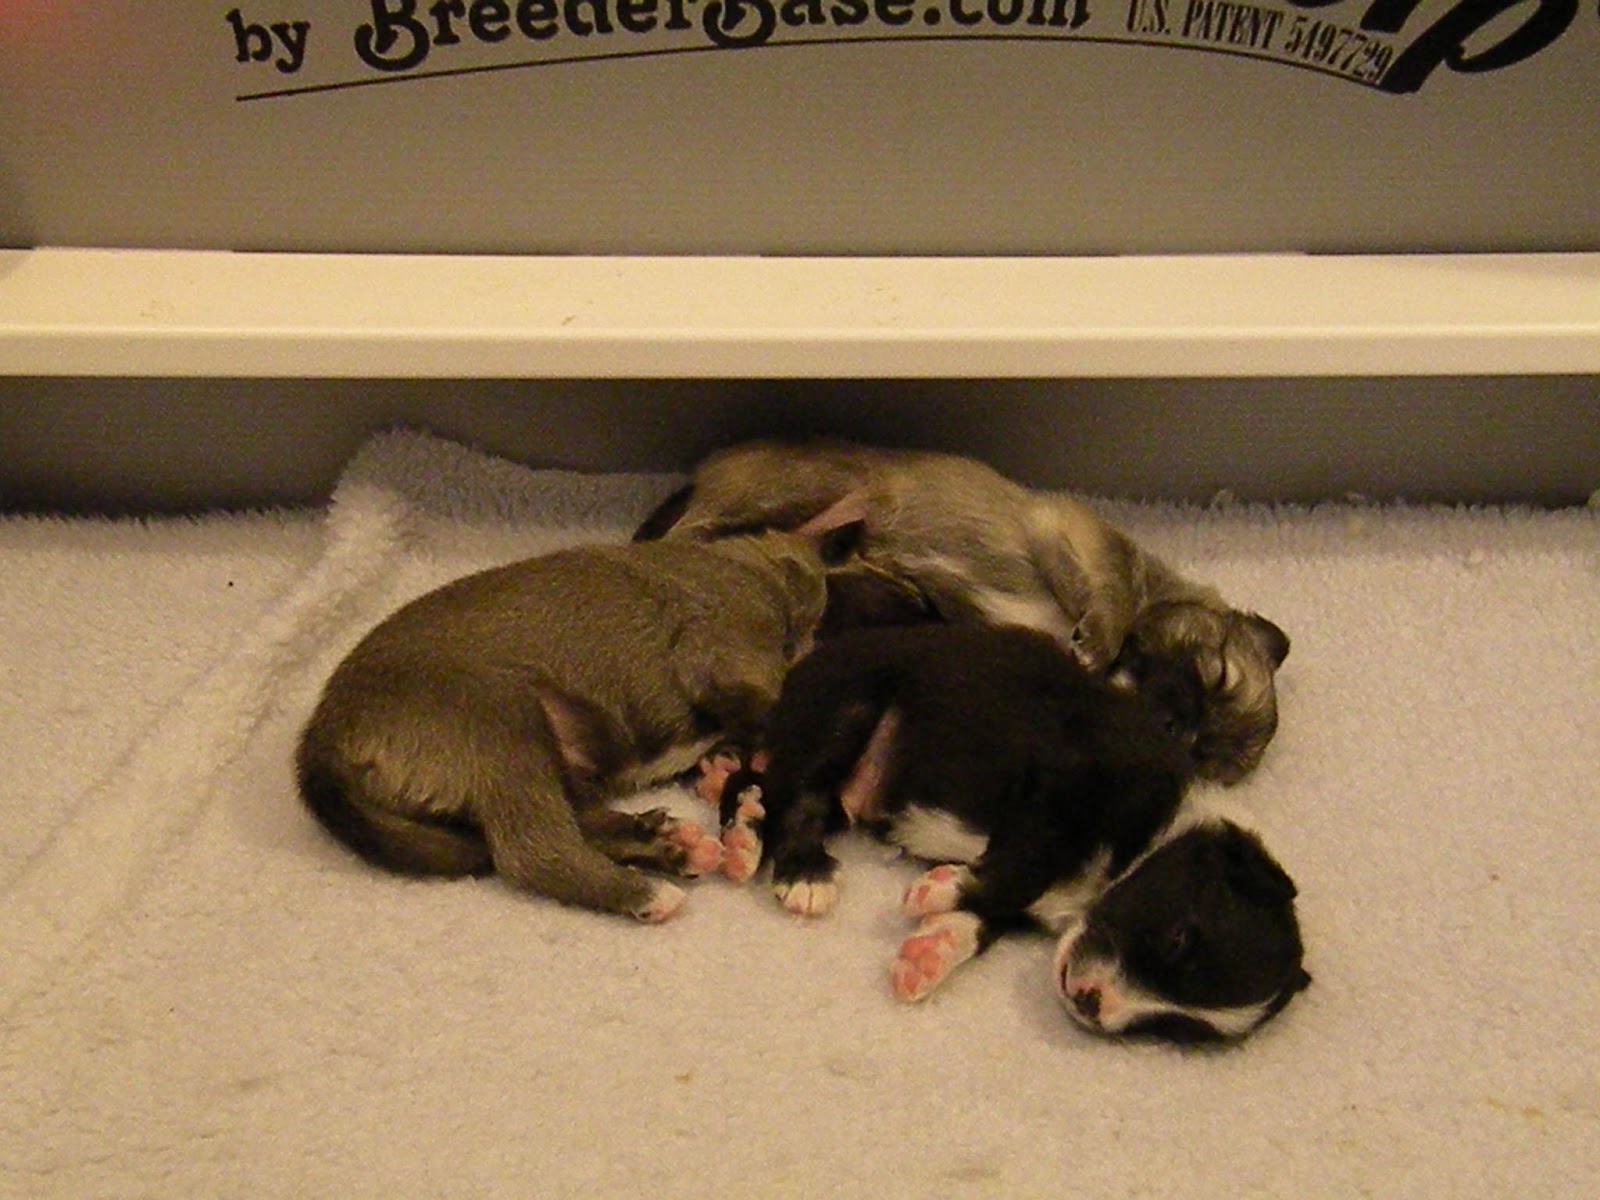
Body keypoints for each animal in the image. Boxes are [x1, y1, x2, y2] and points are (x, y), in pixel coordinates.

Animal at [296, 525, 857, 922]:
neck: (760, 567)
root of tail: (318, 742)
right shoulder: (723, 650)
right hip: (502, 718)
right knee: (533, 849)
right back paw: (648, 891)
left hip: (552, 756)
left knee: (573, 818)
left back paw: (669, 844)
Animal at [636, 438, 1291, 785]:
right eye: (1219, 674)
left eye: (1202, 758)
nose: (1180, 726)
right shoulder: (1075, 536)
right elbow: (1114, 593)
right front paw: (1100, 637)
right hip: (793, 489)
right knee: (688, 532)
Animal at [705, 623, 1309, 1041]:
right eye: (1179, 937)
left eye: (1177, 1028)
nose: (1091, 1006)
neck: (1154, 837)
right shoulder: (1064, 787)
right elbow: (1026, 866)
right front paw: (941, 888)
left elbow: (984, 920)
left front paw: (931, 951)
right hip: (848, 705)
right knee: (796, 794)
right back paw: (802, 873)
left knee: (760, 786)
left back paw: (745, 837)